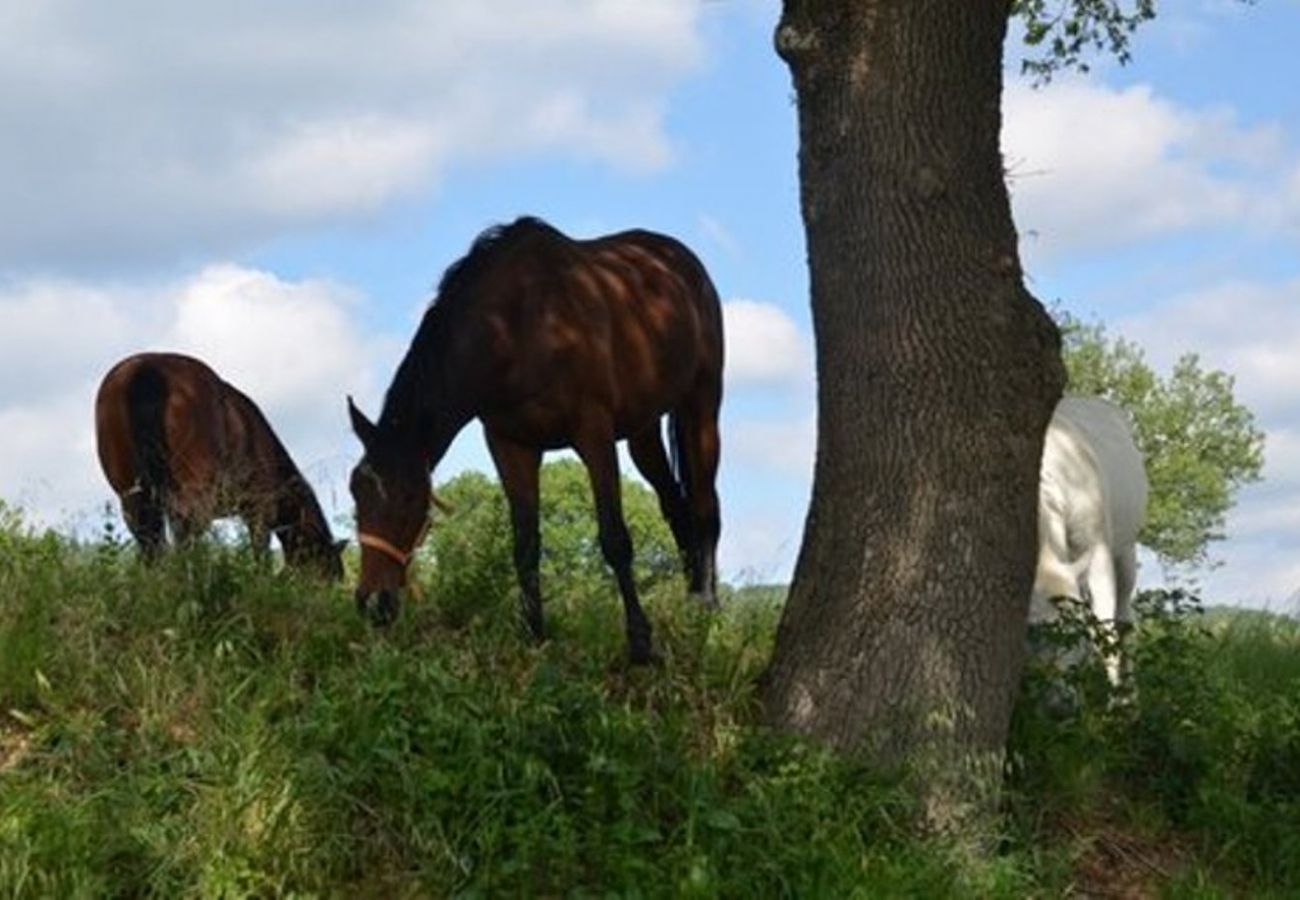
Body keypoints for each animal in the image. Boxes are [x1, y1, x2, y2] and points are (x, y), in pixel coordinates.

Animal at [96, 351, 345, 577]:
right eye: (329, 572)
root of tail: (145, 370)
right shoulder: (260, 509)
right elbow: (261, 553)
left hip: (132, 495)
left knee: (149, 542)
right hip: (192, 497)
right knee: (184, 540)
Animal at [351, 218, 728, 663]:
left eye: (411, 497)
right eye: (356, 491)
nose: (372, 603)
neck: (521, 325)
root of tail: (682, 262)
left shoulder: (594, 434)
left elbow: (615, 539)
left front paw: (640, 642)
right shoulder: (510, 446)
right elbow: (525, 546)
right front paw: (534, 634)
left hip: (701, 405)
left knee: (706, 509)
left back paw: (708, 614)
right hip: (643, 431)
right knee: (677, 508)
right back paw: (691, 605)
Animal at [1029, 392, 1144, 681]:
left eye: (1074, 632)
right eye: (1032, 634)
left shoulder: (1097, 548)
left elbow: (1106, 635)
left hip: (1126, 550)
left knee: (1125, 621)